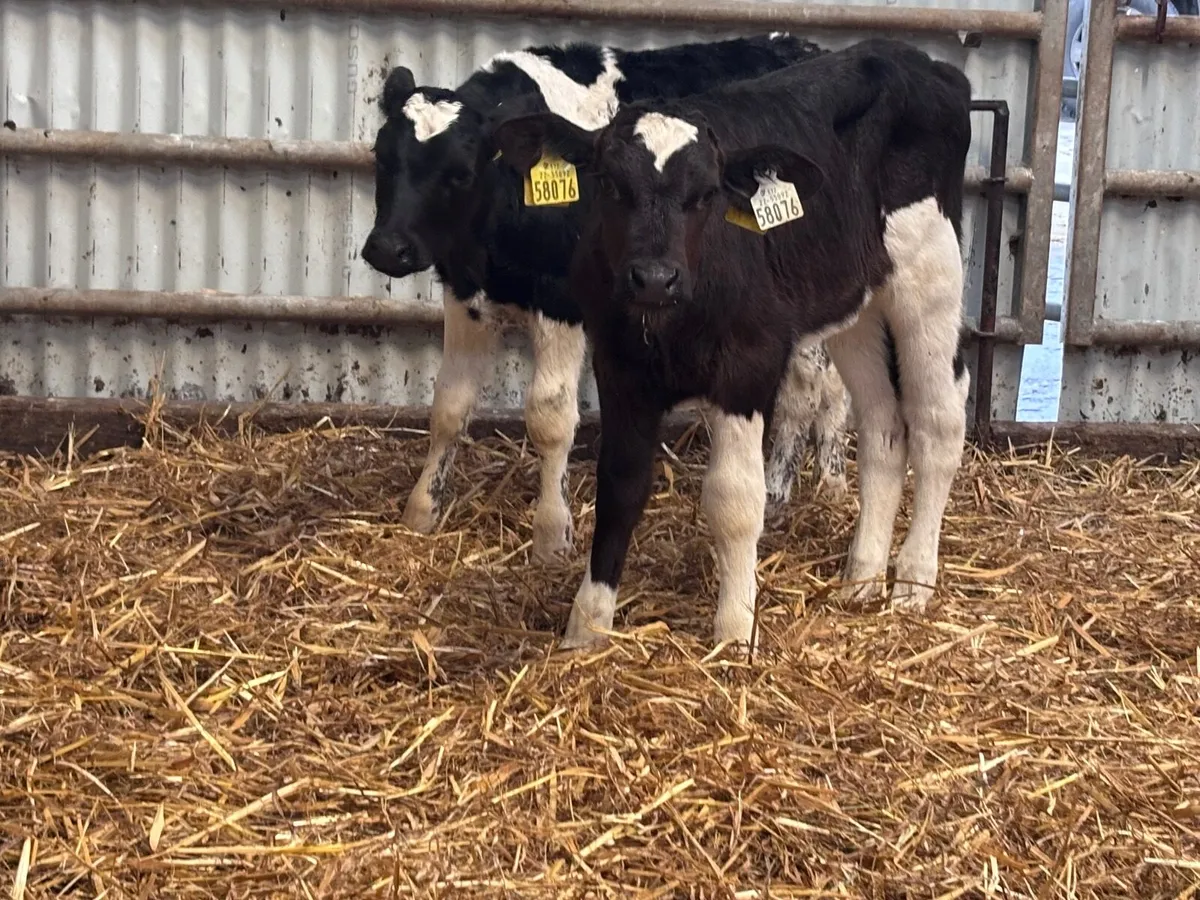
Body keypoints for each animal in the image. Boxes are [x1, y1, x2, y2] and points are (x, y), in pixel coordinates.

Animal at [360, 34, 849, 564]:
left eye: (460, 173)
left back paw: (802, 488)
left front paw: (552, 534)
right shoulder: (465, 293)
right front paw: (421, 511)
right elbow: (450, 405)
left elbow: (549, 416)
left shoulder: (561, 303)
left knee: (813, 387)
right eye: (382, 158)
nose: (388, 248)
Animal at [491, 38, 973, 649]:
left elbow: (736, 500)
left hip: (930, 276)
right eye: (612, 185)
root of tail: (915, 59)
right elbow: (619, 487)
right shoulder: (619, 365)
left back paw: (913, 582)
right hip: (856, 304)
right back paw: (861, 578)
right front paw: (587, 625)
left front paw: (734, 630)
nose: (654, 277)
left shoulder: (749, 363)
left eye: (706, 195)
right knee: (883, 426)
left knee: (937, 420)